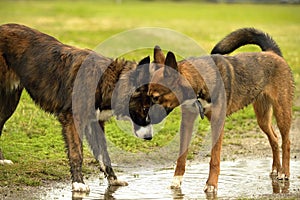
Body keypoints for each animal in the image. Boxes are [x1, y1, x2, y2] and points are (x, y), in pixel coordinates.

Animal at [0, 23, 154, 192]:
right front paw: (78, 183)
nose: (150, 137)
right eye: (145, 108)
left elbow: (104, 154)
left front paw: (113, 179)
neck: (106, 80)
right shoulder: (72, 119)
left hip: (10, 100)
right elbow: (76, 153)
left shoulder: (95, 122)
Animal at [148, 27, 292, 192]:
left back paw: (284, 172)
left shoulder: (217, 123)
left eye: (156, 97)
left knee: (286, 142)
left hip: (282, 112)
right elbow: (181, 156)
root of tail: (272, 52)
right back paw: (276, 169)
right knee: (274, 138)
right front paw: (176, 181)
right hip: (262, 118)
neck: (198, 82)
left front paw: (211, 184)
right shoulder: (187, 123)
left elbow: (214, 159)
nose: (145, 119)